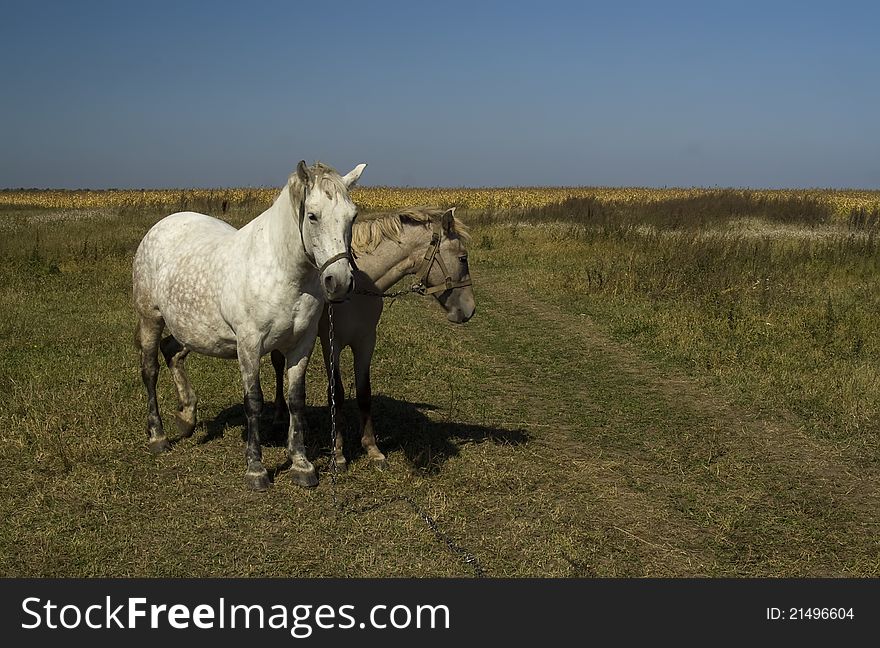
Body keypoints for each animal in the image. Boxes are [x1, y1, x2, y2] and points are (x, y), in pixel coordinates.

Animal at [131, 161, 364, 492]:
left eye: (352, 216)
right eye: (312, 215)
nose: (340, 282)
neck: (281, 270)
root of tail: (160, 226)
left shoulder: (301, 344)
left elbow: (296, 400)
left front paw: (301, 464)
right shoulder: (249, 344)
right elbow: (253, 402)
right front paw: (256, 470)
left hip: (189, 328)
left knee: (172, 352)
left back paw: (187, 417)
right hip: (150, 318)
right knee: (150, 370)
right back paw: (158, 436)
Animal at [270, 205, 474, 468]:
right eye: (462, 258)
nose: (470, 310)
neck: (357, 287)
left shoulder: (366, 341)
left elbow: (364, 392)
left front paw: (372, 448)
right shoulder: (332, 343)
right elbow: (336, 392)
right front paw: (338, 452)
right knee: (278, 365)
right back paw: (279, 414)